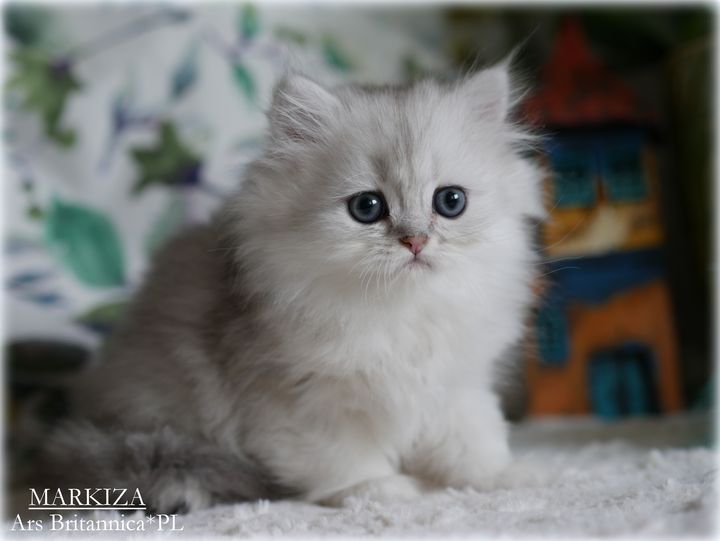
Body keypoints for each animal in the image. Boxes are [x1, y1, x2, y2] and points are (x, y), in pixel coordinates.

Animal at [34, 65, 545, 513]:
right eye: (367, 207)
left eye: (450, 201)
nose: (415, 241)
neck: (400, 311)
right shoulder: (297, 401)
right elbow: (344, 460)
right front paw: (379, 490)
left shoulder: (456, 386)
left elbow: (473, 440)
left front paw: (505, 477)